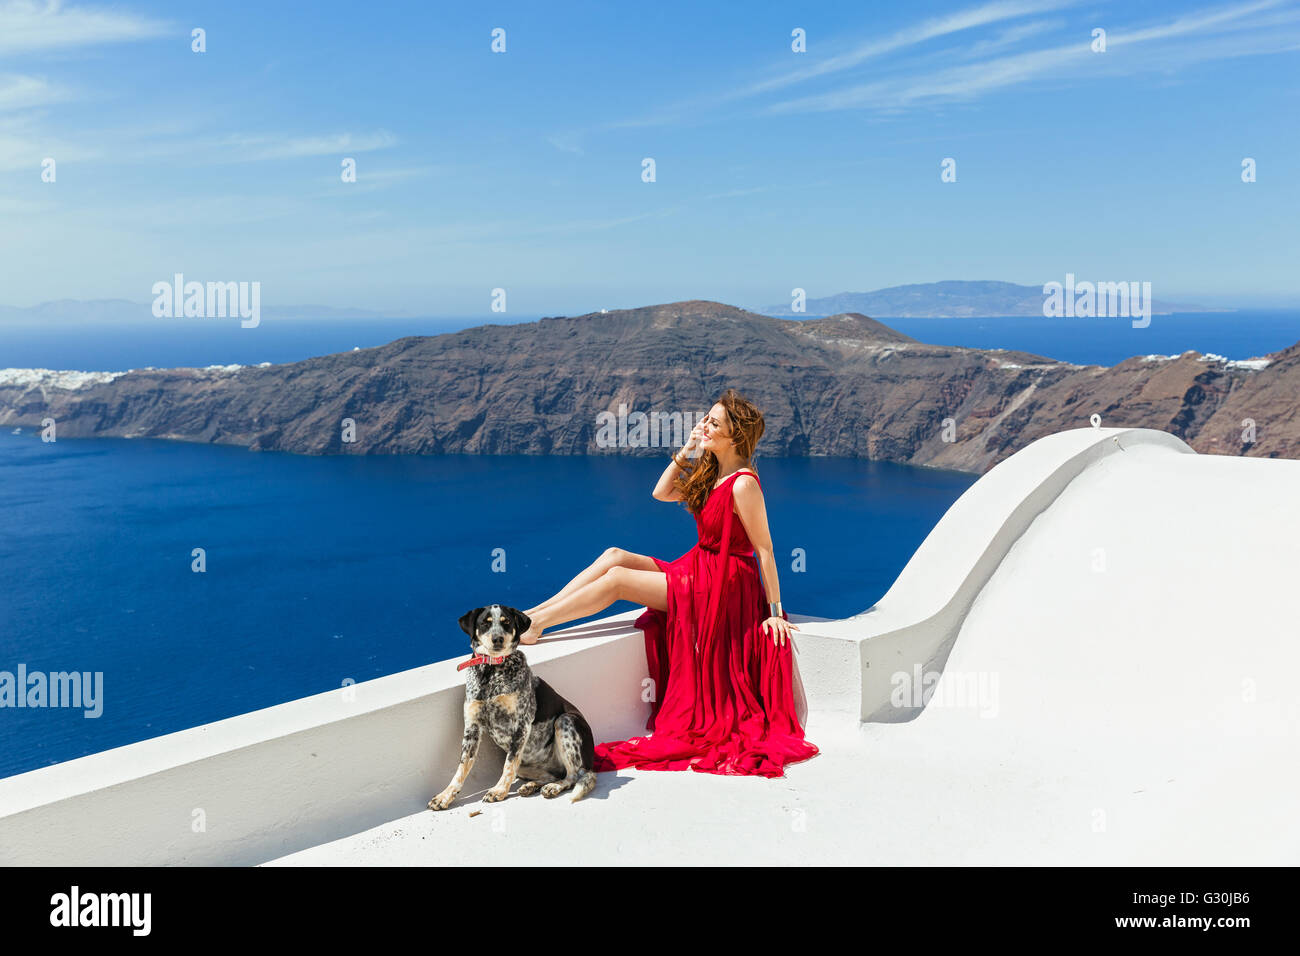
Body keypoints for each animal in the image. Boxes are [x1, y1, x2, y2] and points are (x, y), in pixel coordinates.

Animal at [431, 606, 603, 806]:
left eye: (506, 622)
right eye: (485, 623)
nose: (497, 639)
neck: (492, 671)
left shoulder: (521, 724)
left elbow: (509, 763)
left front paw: (499, 790)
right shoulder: (472, 727)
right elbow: (463, 766)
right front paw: (445, 796)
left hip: (566, 721)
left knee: (574, 776)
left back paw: (554, 787)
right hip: (527, 766)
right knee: (551, 775)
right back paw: (531, 786)